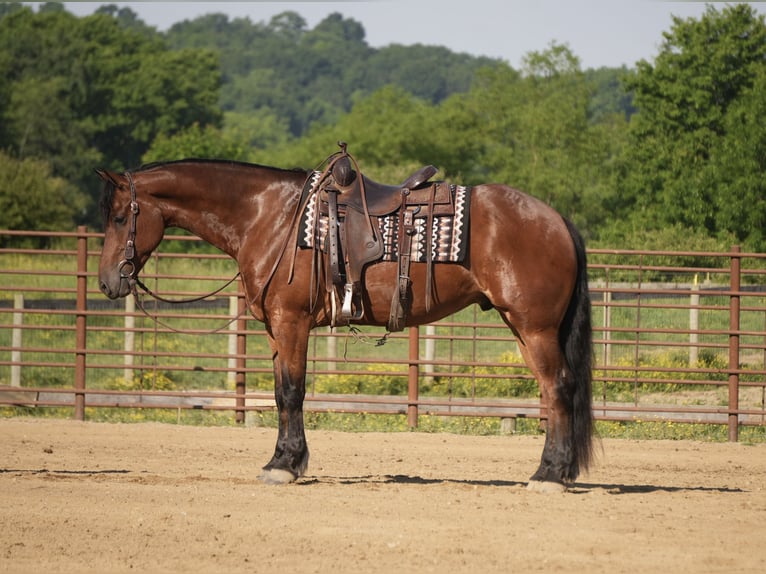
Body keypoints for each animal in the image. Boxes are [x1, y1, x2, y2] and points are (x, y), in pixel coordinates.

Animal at [96, 156, 594, 492]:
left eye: (120, 217)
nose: (106, 282)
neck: (269, 216)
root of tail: (556, 220)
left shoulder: (291, 323)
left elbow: (292, 392)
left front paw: (285, 465)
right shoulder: (276, 330)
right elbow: (279, 393)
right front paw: (282, 460)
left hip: (534, 329)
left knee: (558, 388)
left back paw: (549, 475)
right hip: (525, 330)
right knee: (553, 391)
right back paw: (559, 471)